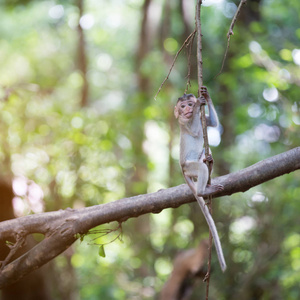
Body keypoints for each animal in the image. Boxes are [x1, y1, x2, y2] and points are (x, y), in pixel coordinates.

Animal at [175, 86, 226, 272]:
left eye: (188, 104)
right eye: (183, 106)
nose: (189, 109)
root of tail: (183, 169)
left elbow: (212, 123)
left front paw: (206, 95)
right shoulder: (184, 122)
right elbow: (195, 130)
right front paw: (199, 103)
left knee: (205, 155)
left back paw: (209, 162)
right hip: (189, 166)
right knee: (200, 169)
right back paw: (203, 190)